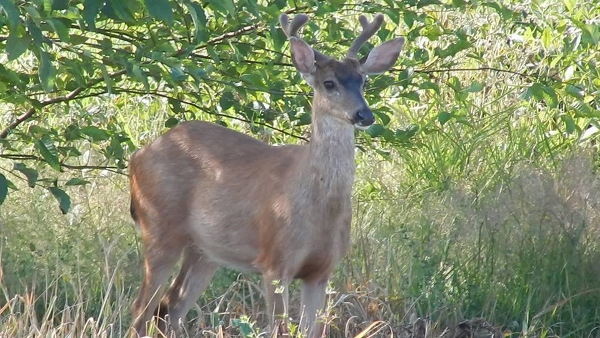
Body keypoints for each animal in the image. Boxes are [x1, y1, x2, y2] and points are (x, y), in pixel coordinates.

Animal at [129, 11, 406, 336]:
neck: (318, 208)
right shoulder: (275, 262)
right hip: (158, 228)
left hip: (204, 250)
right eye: (329, 83)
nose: (364, 115)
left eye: (363, 80)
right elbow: (281, 328)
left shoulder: (322, 270)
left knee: (169, 307)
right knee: (141, 310)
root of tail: (138, 156)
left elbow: (312, 330)